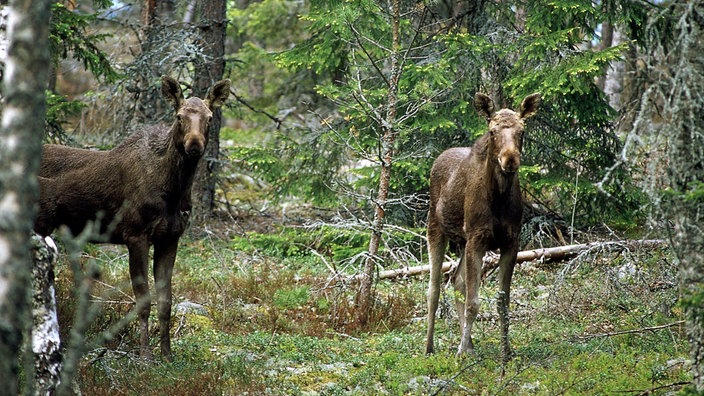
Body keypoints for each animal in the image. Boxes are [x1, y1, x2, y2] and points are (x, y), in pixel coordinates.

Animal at [34, 76, 231, 362]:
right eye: (179, 116)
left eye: (209, 117)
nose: (194, 145)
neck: (173, 192)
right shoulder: (135, 235)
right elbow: (143, 301)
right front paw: (146, 355)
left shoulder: (170, 238)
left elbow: (166, 301)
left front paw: (167, 355)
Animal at [426, 92, 540, 362]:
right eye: (492, 131)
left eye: (522, 130)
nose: (510, 159)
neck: (498, 199)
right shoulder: (478, 238)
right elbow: (473, 301)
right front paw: (459, 351)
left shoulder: (510, 241)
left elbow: (503, 302)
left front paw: (506, 351)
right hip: (436, 227)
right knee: (434, 288)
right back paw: (430, 347)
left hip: (463, 242)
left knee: (455, 281)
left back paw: (469, 344)